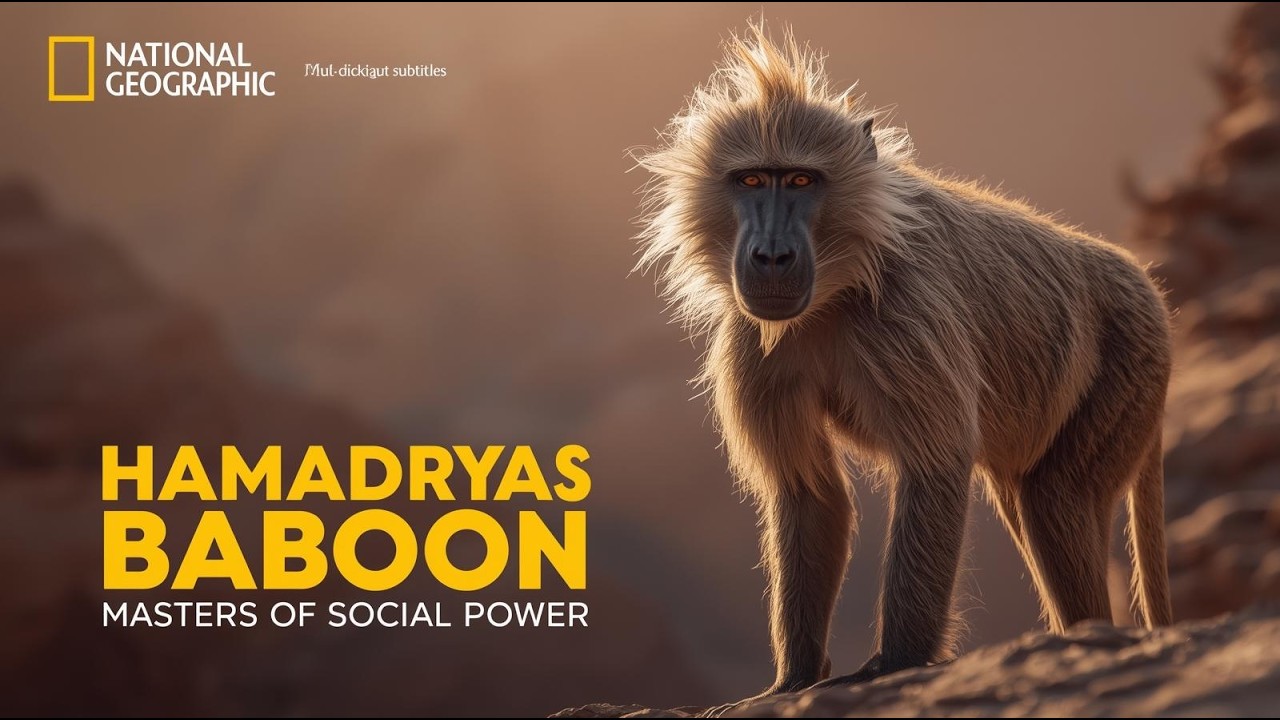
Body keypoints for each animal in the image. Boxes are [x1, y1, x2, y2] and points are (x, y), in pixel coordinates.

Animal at [633, 24, 1173, 712]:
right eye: (752, 181)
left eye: (801, 181)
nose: (772, 257)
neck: (836, 292)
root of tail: (1144, 284)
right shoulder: (755, 345)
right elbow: (808, 491)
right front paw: (794, 680)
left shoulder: (905, 315)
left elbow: (935, 465)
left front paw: (896, 663)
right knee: (1029, 495)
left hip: (1130, 366)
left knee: (1056, 497)